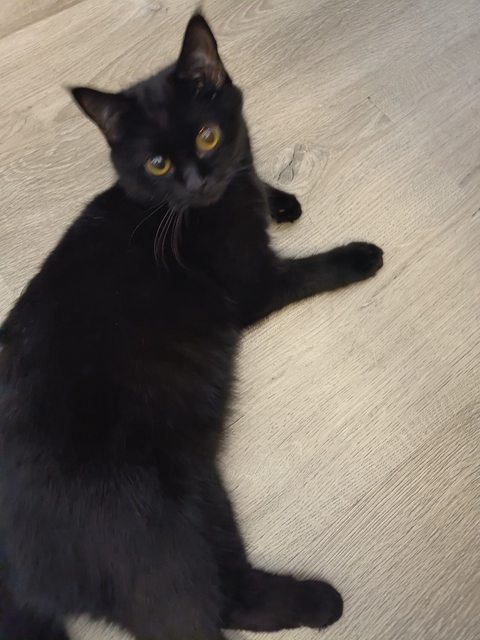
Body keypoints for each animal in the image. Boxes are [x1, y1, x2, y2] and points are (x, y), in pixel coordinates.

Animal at [0, 13, 383, 640]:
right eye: (156, 164)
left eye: (207, 136)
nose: (197, 182)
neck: (179, 210)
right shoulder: (254, 285)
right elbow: (309, 271)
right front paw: (358, 256)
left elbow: (249, 169)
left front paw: (280, 198)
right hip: (159, 524)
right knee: (208, 607)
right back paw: (322, 603)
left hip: (201, 490)